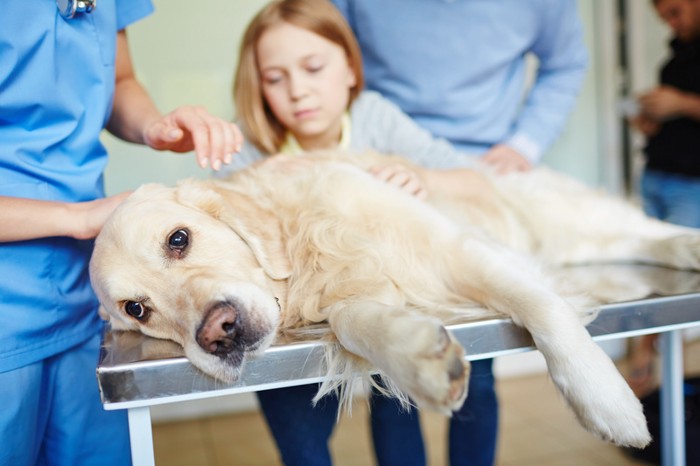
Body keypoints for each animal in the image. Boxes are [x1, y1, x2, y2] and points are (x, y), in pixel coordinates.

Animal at [90, 151, 700, 446]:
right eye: (136, 309)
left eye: (179, 239)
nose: (219, 332)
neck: (304, 238)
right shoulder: (345, 298)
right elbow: (356, 321)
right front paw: (419, 358)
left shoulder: (456, 249)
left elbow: (543, 307)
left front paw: (606, 400)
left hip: (560, 217)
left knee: (639, 227)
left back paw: (687, 242)